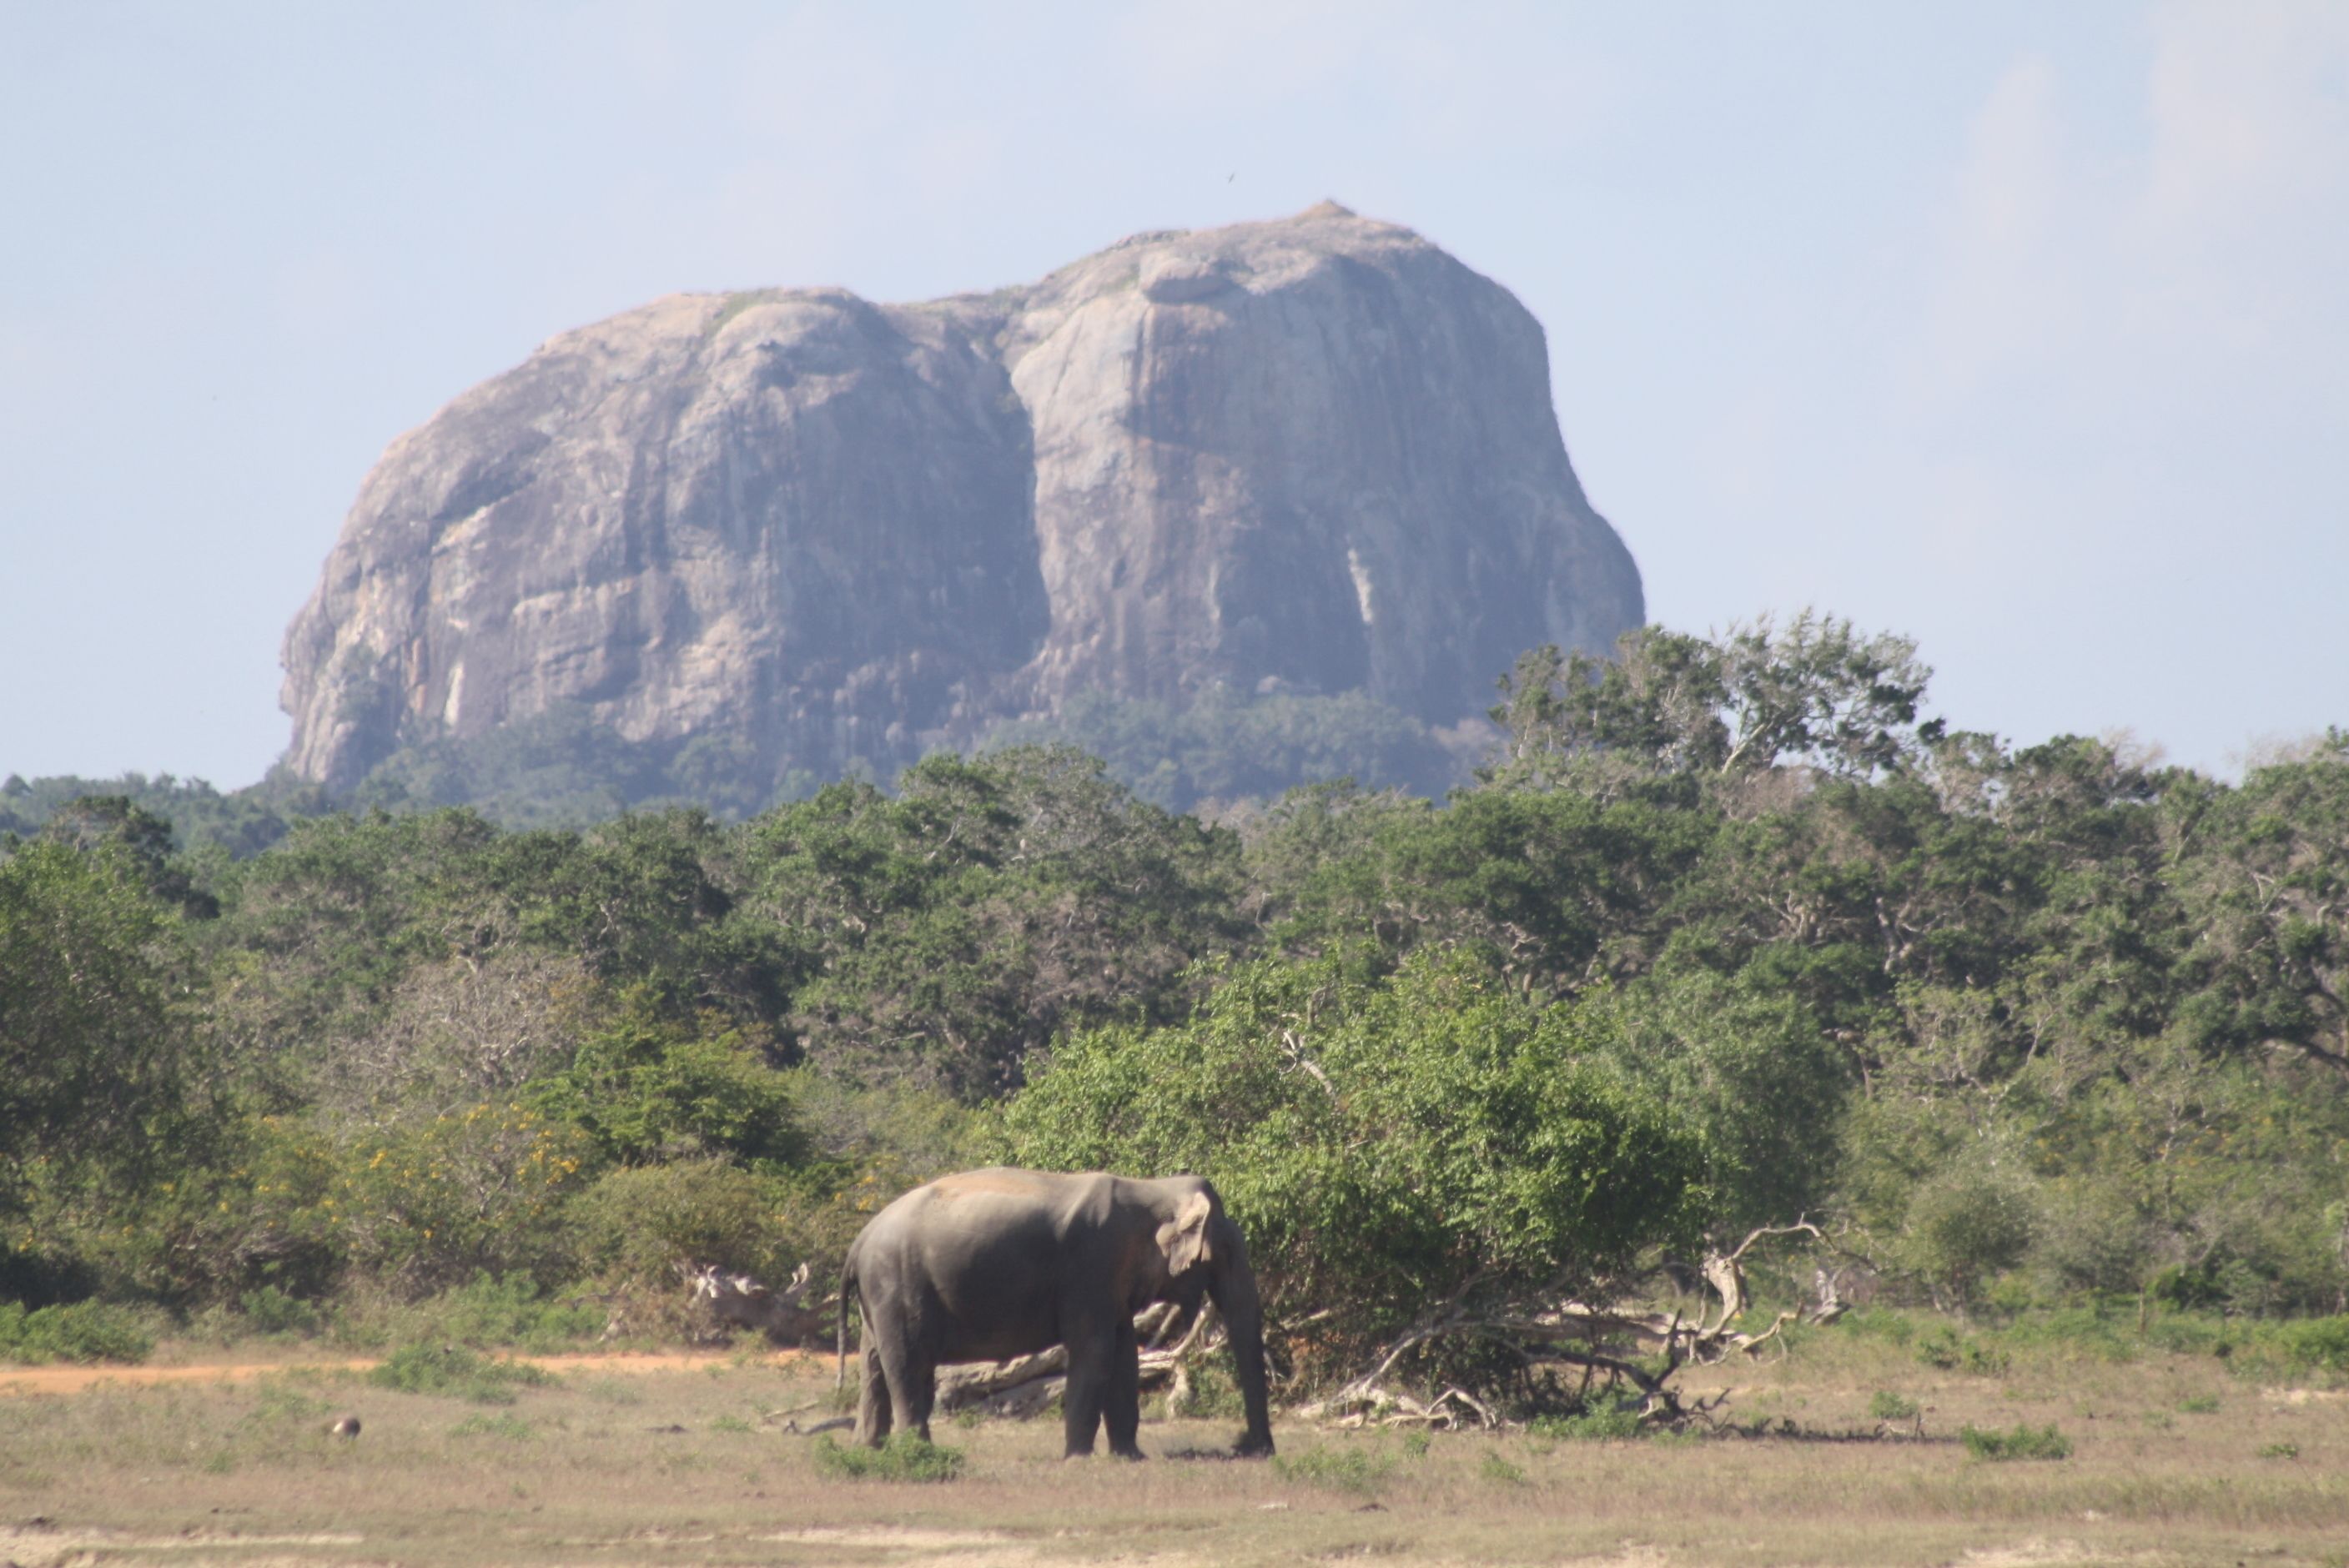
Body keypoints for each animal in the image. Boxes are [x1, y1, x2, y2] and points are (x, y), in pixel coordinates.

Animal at [838, 1167, 1274, 1459]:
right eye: (1226, 1253)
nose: (1248, 1448)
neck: (1151, 1188)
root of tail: (858, 1242)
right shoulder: (1090, 1269)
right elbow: (1095, 1353)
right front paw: (1079, 1459)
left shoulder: (1109, 1285)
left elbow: (1124, 1357)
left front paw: (1130, 1458)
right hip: (898, 1285)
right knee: (908, 1364)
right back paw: (917, 1452)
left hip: (879, 1296)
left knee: (873, 1363)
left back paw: (866, 1450)